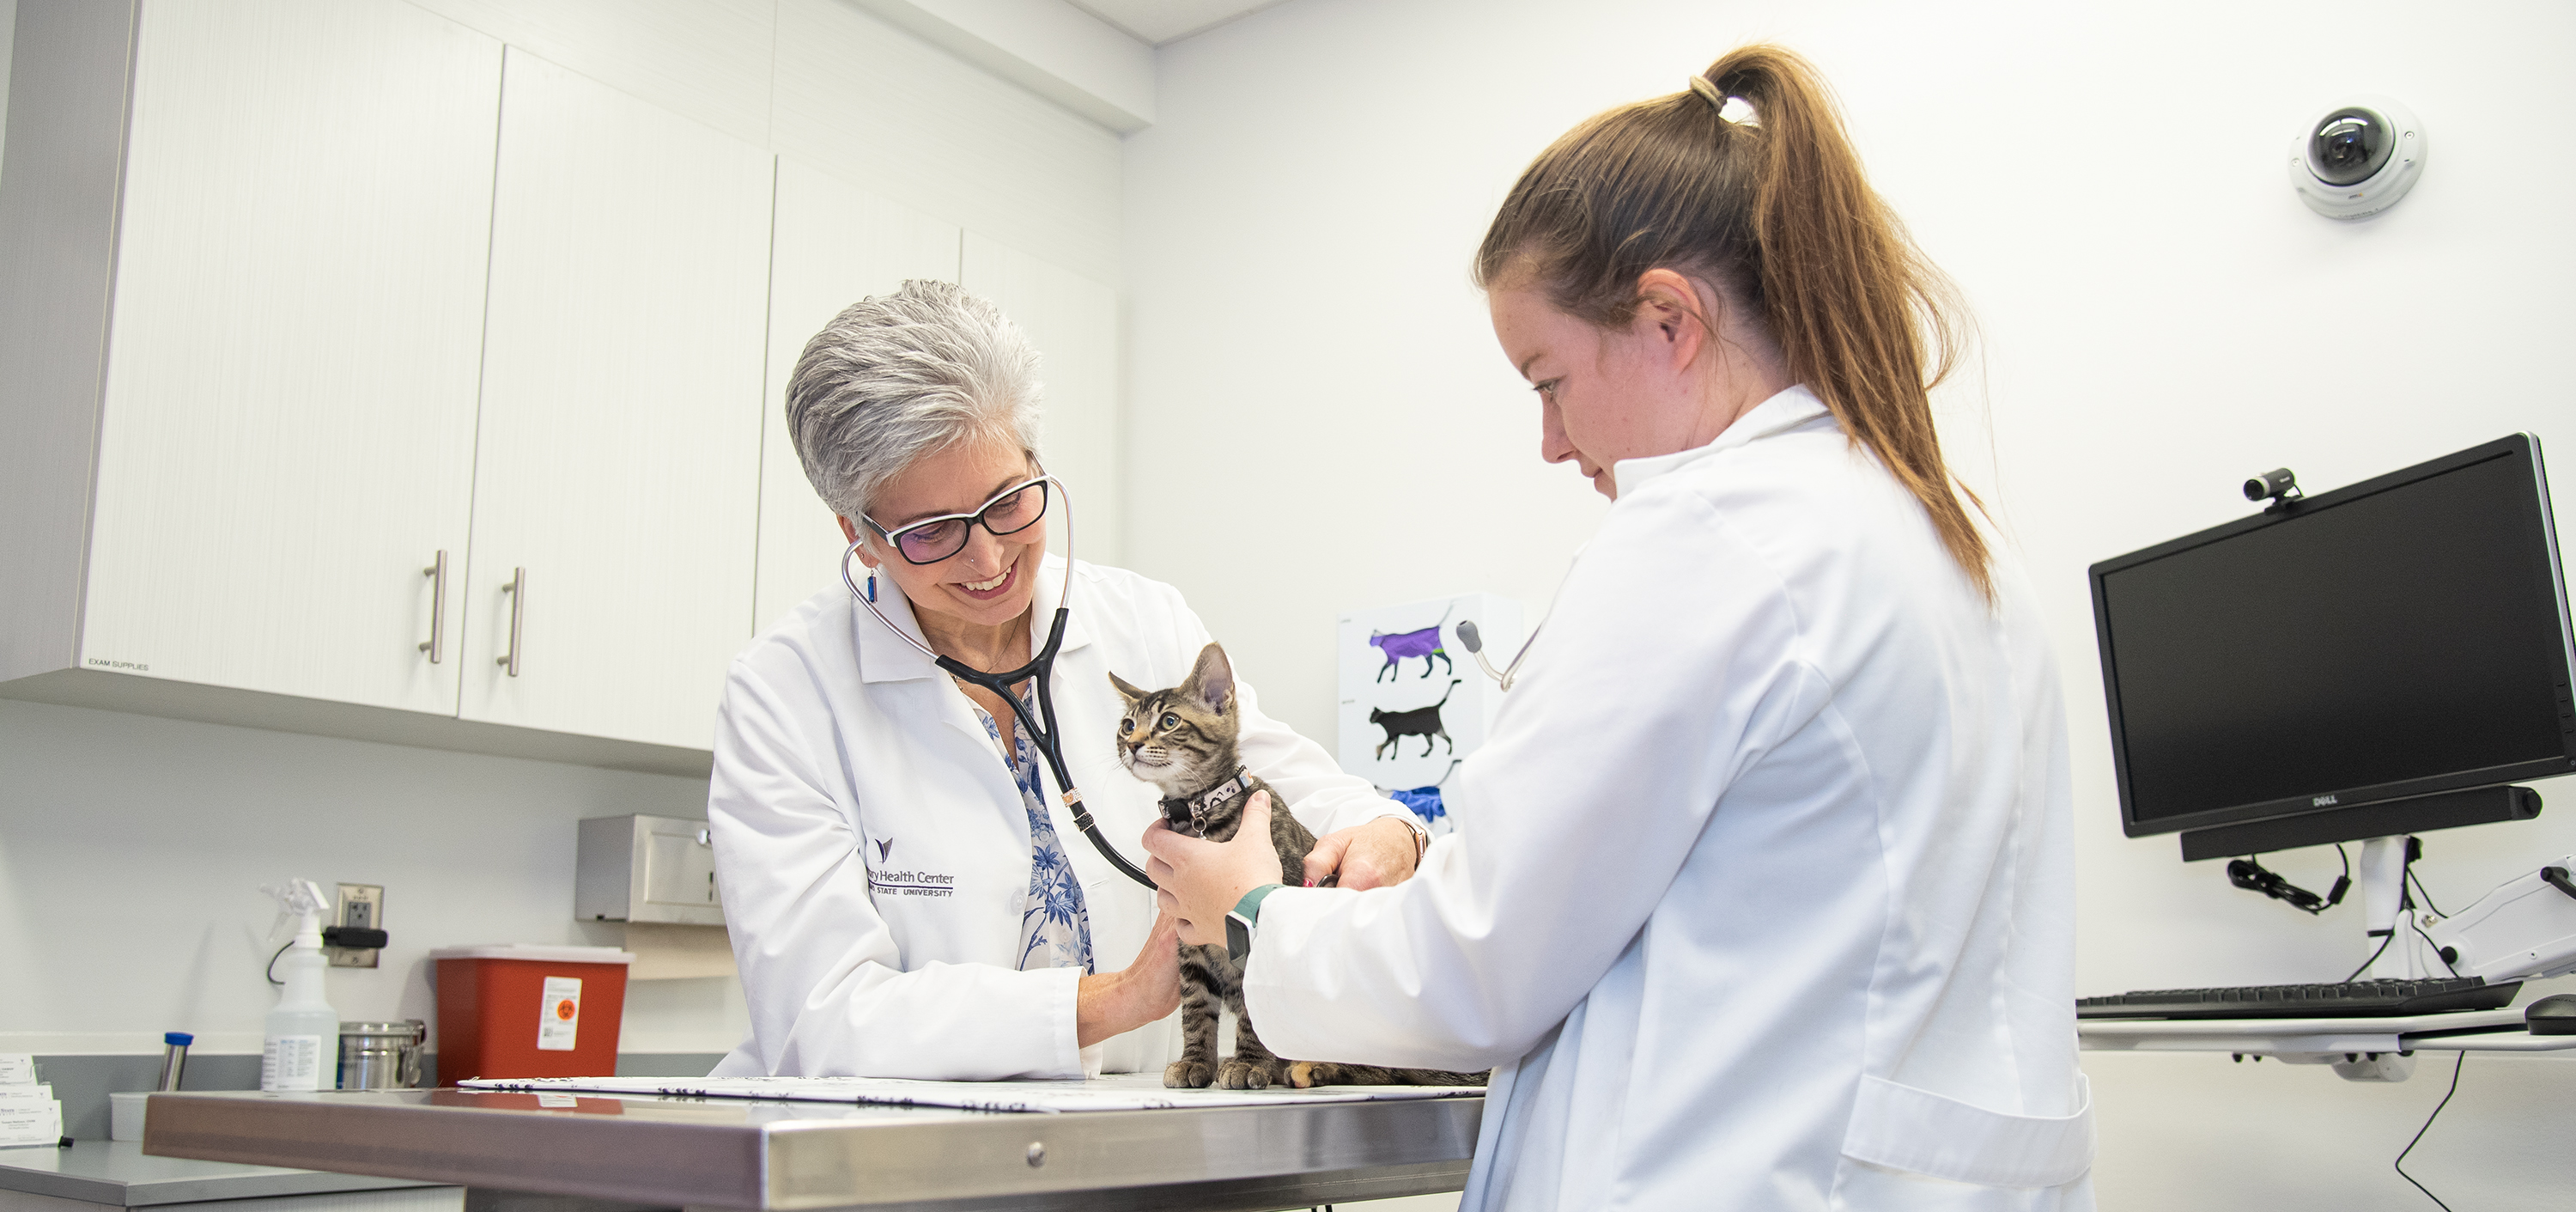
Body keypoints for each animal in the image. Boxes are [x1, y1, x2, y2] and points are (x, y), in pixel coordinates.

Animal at [1108, 639, 1494, 1093]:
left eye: (1169, 721)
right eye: (1127, 725)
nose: (1133, 745)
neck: (1200, 816)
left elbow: (1255, 1010)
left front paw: (1248, 1062)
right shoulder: (1189, 945)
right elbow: (1195, 1008)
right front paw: (1195, 1060)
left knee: (1385, 1065)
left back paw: (1311, 1067)